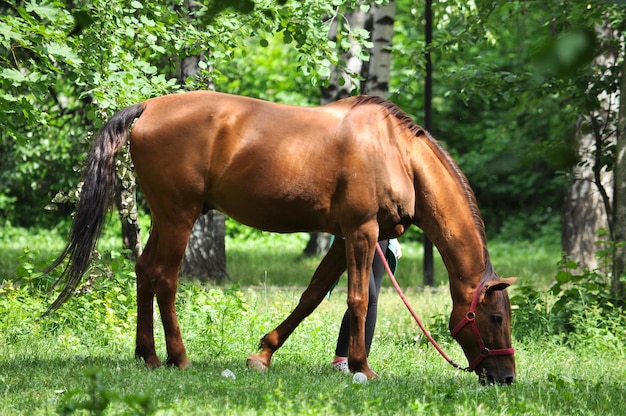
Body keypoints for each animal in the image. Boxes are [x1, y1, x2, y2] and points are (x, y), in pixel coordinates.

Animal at [47, 90, 516, 384]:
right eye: (496, 318)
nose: (507, 377)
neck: (395, 152)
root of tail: (147, 108)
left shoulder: (343, 238)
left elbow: (312, 296)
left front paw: (264, 353)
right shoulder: (361, 233)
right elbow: (357, 300)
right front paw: (362, 368)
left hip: (165, 217)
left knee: (145, 272)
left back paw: (148, 355)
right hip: (179, 217)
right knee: (164, 278)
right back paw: (179, 358)